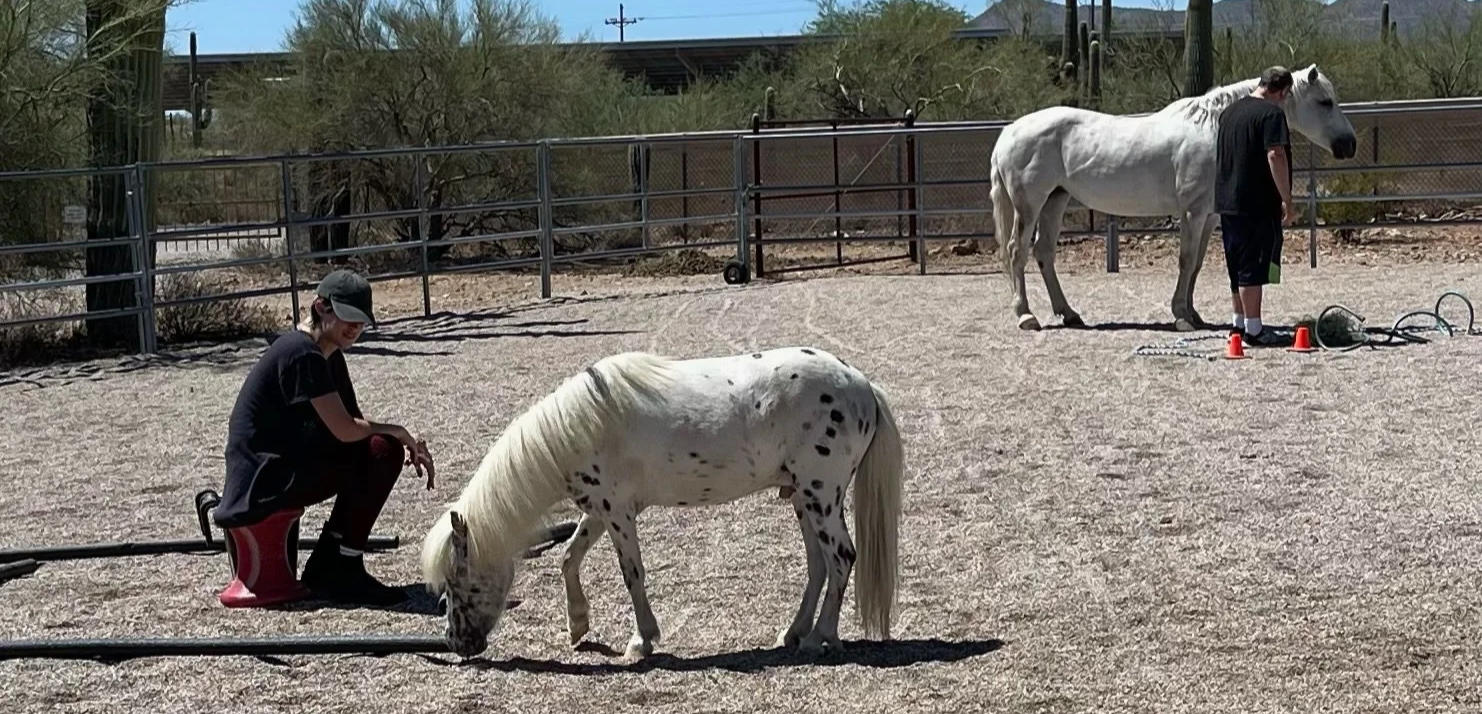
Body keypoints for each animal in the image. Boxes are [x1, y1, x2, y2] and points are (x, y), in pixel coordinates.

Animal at [420, 346, 906, 661]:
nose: (456, 644)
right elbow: (569, 558)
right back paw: (794, 632)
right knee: (819, 564)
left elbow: (632, 574)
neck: (578, 428)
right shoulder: (597, 511)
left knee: (841, 557)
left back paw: (820, 637)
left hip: (821, 496)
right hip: (804, 498)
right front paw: (578, 627)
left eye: (457, 581)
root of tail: (864, 387)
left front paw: (642, 642)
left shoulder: (618, 513)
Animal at [989, 64, 1359, 332]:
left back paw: (1069, 314)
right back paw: (1026, 316)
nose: (1350, 144)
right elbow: (1185, 260)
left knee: (1044, 253)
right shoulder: (1193, 213)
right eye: (1325, 101)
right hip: (1030, 205)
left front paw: (1193, 314)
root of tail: (1009, 132)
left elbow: (1196, 264)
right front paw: (1181, 316)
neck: (1215, 128)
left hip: (1056, 200)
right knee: (1017, 252)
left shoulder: (1209, 216)